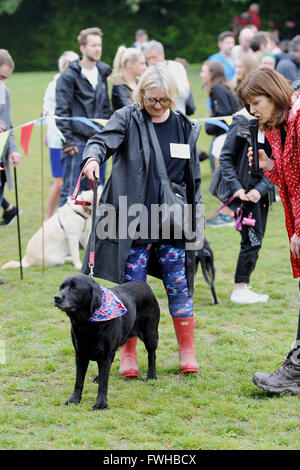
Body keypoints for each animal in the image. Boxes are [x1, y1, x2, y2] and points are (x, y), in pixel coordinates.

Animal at [54, 274, 162, 410]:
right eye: (61, 287)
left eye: (75, 289)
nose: (56, 297)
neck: (87, 324)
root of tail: (145, 285)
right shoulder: (80, 354)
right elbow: (79, 381)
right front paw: (74, 400)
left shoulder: (106, 355)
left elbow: (104, 384)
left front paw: (101, 403)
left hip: (151, 335)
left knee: (152, 355)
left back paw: (151, 376)